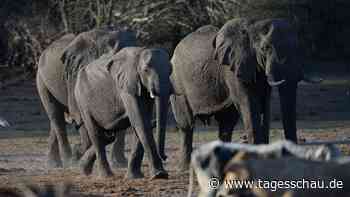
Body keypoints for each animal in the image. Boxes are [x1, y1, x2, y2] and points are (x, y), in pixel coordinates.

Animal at [36, 27, 137, 168]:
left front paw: (120, 164)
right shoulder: (76, 73)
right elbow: (79, 112)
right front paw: (77, 154)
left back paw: (55, 163)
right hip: (41, 79)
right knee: (55, 115)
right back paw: (68, 162)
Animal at [74, 46, 172, 179]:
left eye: (171, 70)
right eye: (146, 70)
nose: (165, 157)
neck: (140, 53)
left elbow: (142, 121)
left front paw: (135, 177)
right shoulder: (127, 86)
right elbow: (140, 121)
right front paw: (159, 175)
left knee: (109, 135)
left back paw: (83, 169)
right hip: (82, 100)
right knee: (95, 133)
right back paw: (106, 176)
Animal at [170, 17, 318, 170]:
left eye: (298, 48)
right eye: (265, 48)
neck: (253, 27)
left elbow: (265, 104)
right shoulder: (232, 69)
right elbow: (248, 104)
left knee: (226, 123)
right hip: (177, 83)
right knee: (187, 124)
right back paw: (185, 167)